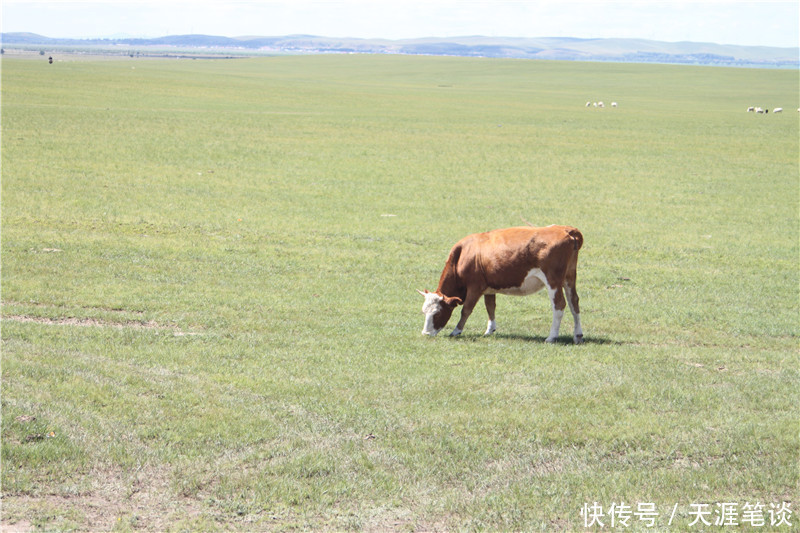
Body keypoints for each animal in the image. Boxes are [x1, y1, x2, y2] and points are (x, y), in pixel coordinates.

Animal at [418, 225, 580, 344]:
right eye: (424, 312)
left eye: (437, 313)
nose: (425, 333)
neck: (463, 254)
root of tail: (566, 229)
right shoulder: (489, 288)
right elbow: (490, 307)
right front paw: (490, 330)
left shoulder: (475, 287)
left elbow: (466, 310)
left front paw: (456, 330)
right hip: (569, 278)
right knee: (574, 302)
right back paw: (578, 335)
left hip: (553, 281)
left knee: (559, 305)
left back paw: (552, 337)